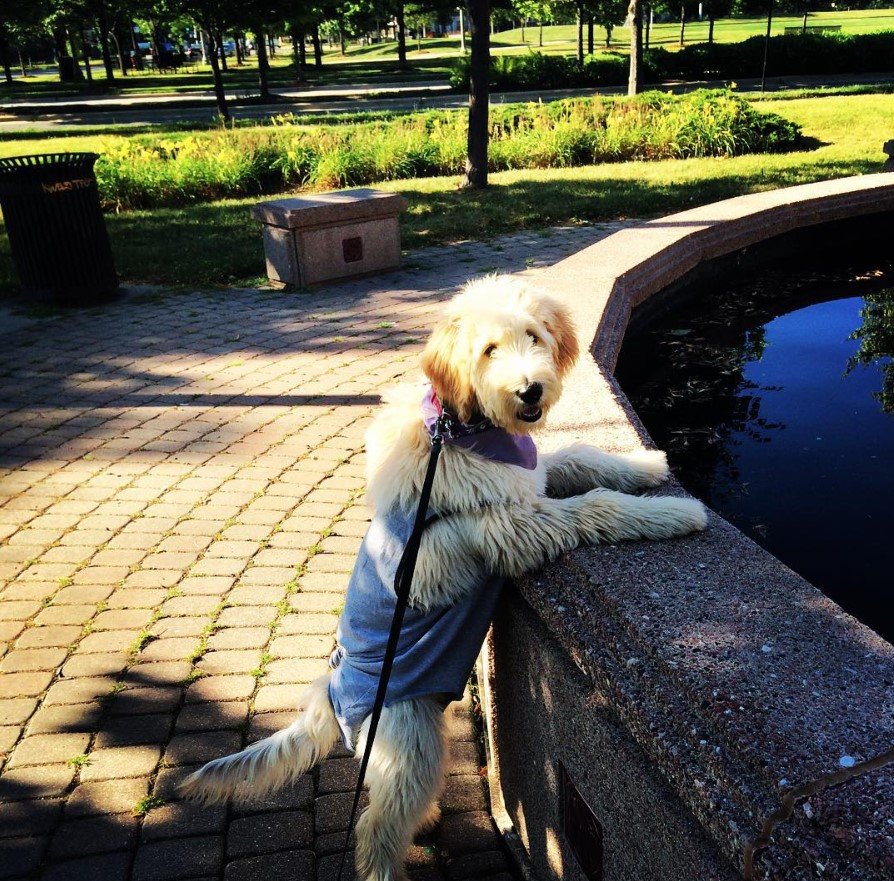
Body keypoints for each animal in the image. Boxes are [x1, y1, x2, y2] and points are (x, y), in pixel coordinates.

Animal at [182, 276, 712, 880]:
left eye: (534, 336)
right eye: (488, 351)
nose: (529, 391)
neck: (461, 429)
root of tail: (329, 695)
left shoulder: (529, 480)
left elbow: (578, 456)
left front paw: (646, 464)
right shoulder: (511, 524)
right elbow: (595, 507)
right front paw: (676, 514)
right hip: (407, 742)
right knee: (376, 826)